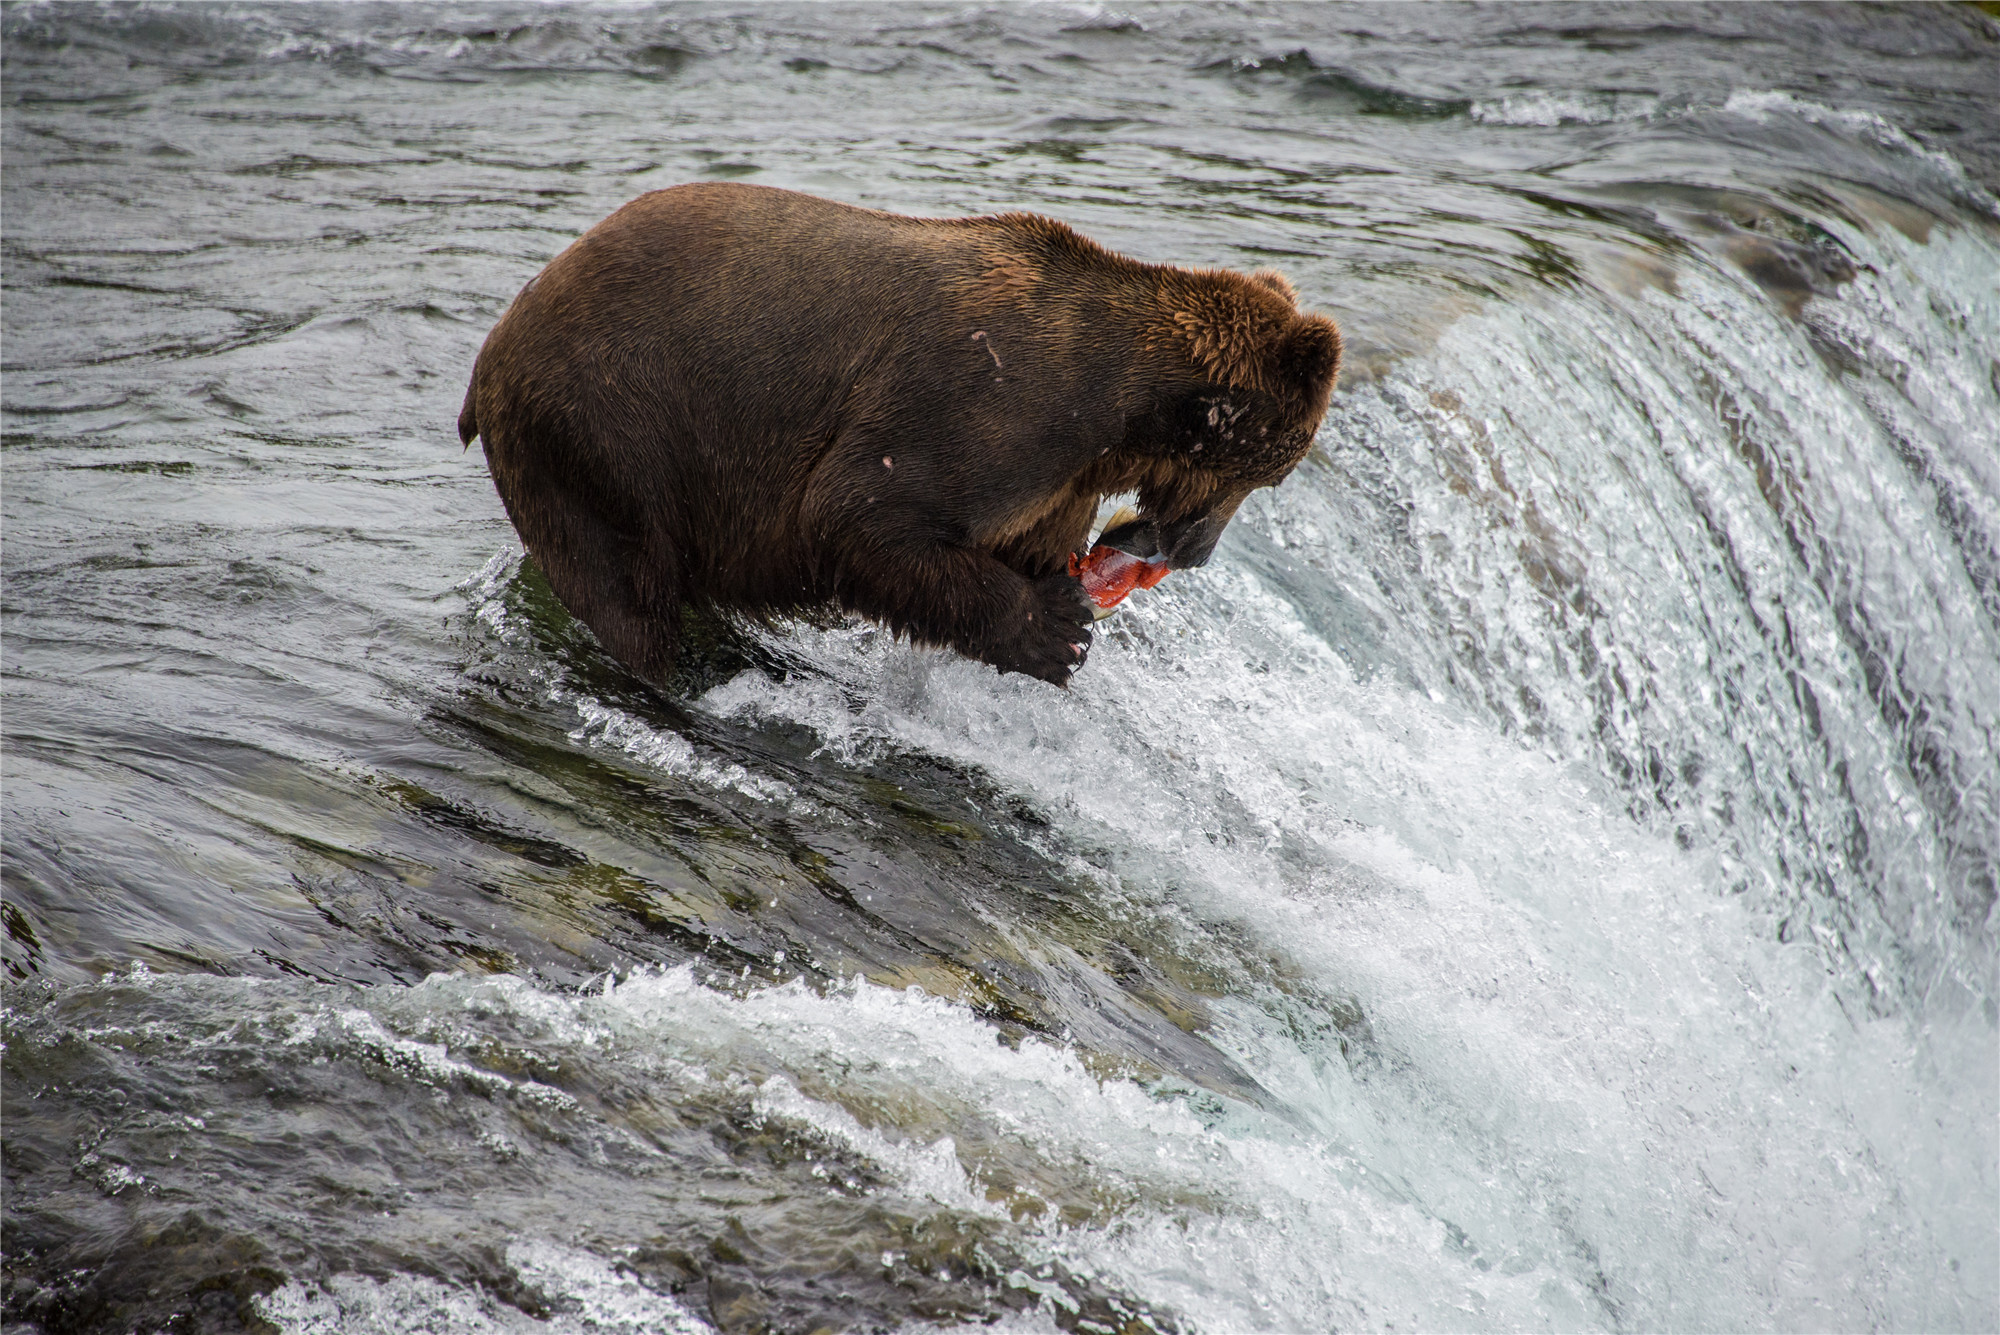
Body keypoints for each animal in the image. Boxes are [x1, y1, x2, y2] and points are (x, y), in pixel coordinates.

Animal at [460, 184, 1344, 687]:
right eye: (1261, 475)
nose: (1190, 550)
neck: (1118, 411)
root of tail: (490, 352)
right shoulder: (988, 405)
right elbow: (860, 512)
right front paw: (1056, 630)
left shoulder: (1056, 480)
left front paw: (1069, 597)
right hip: (611, 427)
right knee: (624, 587)